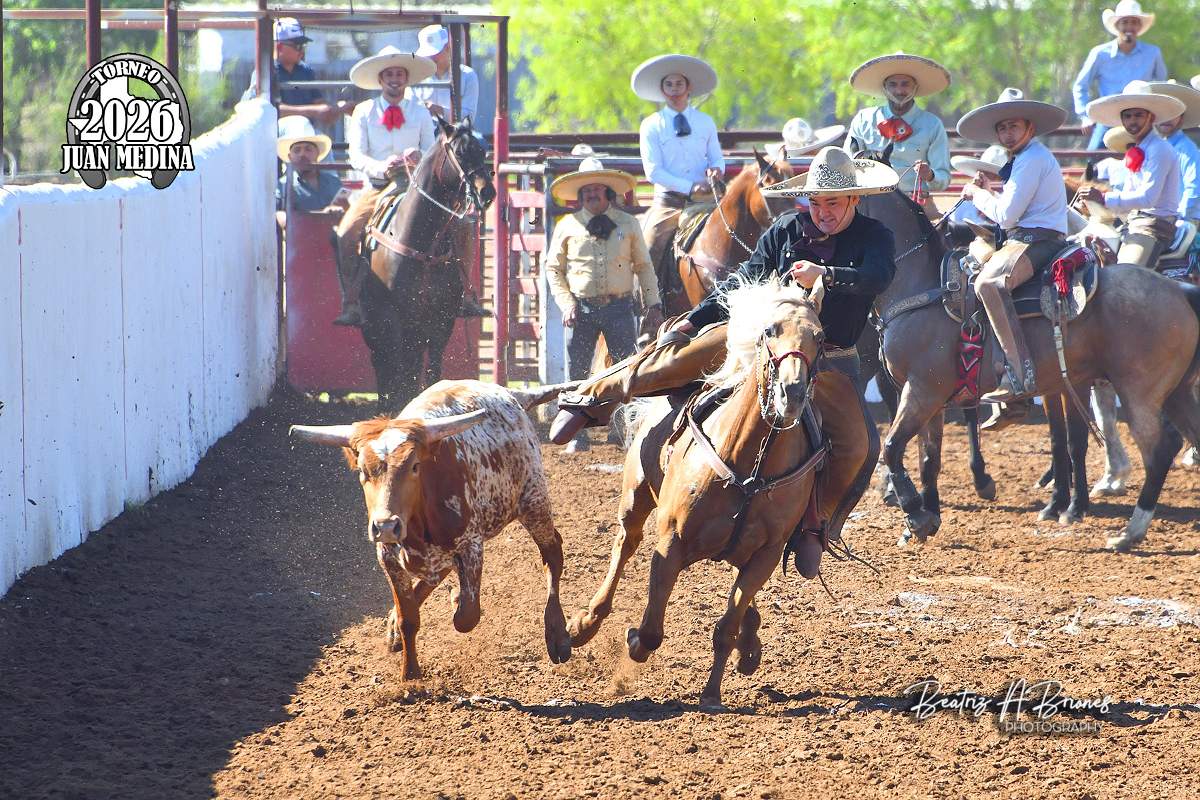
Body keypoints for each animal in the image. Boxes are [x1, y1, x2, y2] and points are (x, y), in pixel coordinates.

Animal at [290, 379, 576, 679]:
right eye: (363, 471)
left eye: (415, 466)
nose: (386, 525)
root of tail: (513, 394)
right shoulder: (388, 556)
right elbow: (409, 619)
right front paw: (410, 673)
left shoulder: (471, 546)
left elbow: (466, 616)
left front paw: (455, 598)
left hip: (534, 501)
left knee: (552, 553)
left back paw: (557, 634)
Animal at [360, 117, 495, 411]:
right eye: (460, 152)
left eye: (482, 150)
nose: (487, 192)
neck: (422, 246)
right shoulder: (394, 319)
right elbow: (399, 375)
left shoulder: (441, 320)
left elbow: (431, 371)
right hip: (376, 326)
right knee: (383, 367)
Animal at [566, 276, 829, 708]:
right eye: (770, 330)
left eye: (820, 337)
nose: (791, 394)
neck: (748, 463)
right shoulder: (671, 541)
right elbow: (651, 630)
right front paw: (634, 640)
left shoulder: (766, 555)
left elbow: (726, 624)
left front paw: (712, 692)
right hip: (636, 495)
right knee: (625, 544)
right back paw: (584, 623)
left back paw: (749, 645)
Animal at [862, 188, 1200, 551]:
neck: (926, 291)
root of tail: (1180, 291)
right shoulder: (932, 397)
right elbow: (929, 458)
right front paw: (926, 518)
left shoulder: (923, 391)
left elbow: (893, 446)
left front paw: (916, 515)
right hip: (1176, 393)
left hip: (1139, 394)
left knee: (1160, 449)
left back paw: (1130, 532)